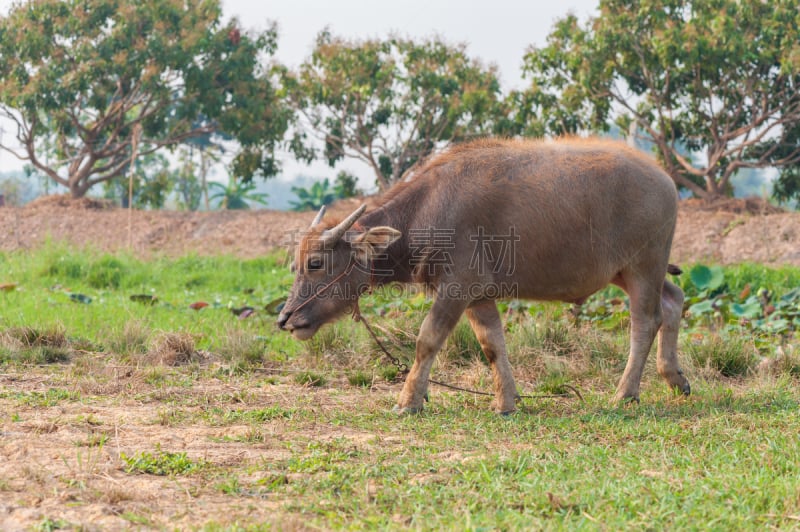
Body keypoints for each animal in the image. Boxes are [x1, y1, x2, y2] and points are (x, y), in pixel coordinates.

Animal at [276, 136, 688, 412]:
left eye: (316, 263)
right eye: (296, 264)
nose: (285, 319)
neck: (426, 211)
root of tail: (665, 179)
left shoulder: (457, 289)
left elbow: (427, 340)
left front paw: (409, 400)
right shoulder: (479, 296)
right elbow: (492, 344)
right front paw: (507, 401)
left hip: (643, 267)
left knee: (645, 321)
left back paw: (625, 393)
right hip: (625, 272)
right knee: (674, 301)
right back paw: (675, 379)